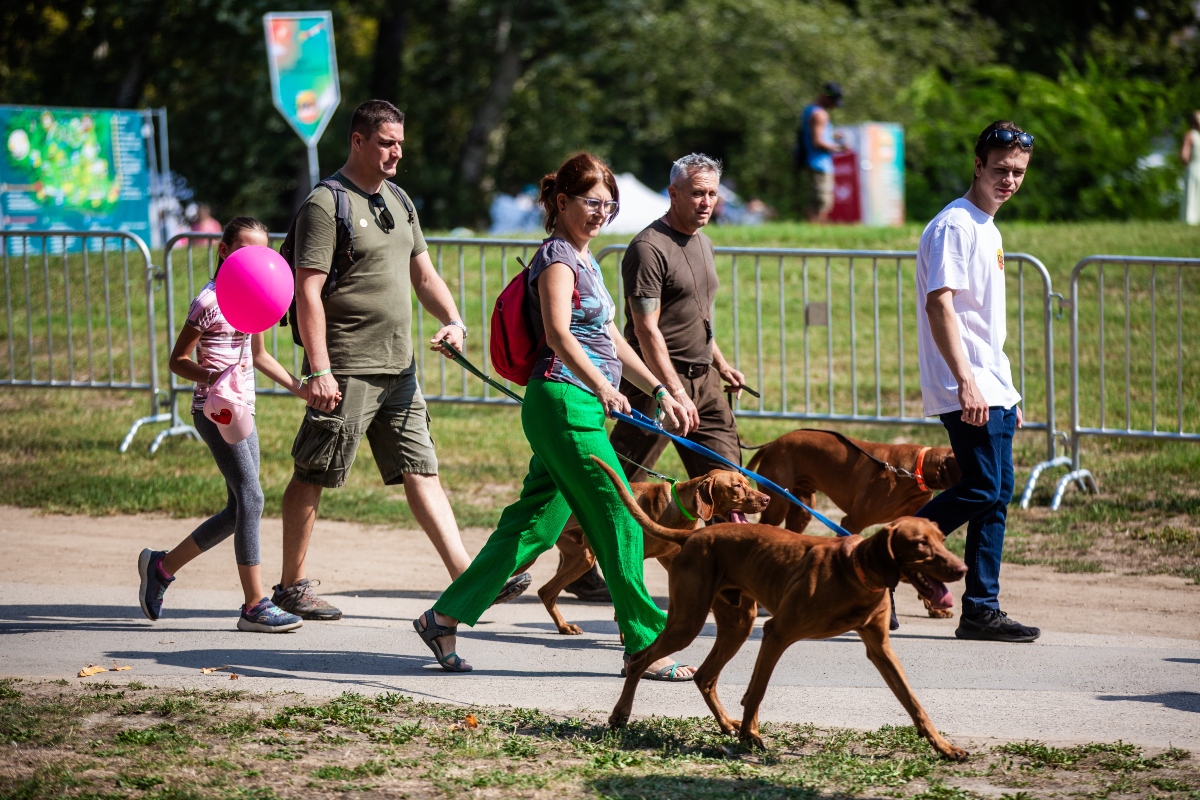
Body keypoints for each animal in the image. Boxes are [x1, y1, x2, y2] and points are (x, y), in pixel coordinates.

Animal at [542, 470, 772, 633]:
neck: (680, 507)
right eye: (737, 486)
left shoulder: (671, 559)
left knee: (546, 591)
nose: (767, 498)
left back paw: (564, 627)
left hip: (582, 557)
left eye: (747, 483)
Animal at [595, 455, 969, 762]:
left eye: (941, 540)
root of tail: (694, 537)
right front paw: (751, 736)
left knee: (705, 676)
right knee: (641, 661)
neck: (853, 570)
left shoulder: (880, 648)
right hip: (689, 621)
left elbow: (913, 701)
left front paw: (944, 747)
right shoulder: (777, 632)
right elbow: (757, 690)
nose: (962, 569)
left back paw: (726, 724)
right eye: (920, 545)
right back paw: (620, 715)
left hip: (738, 623)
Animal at [744, 431, 960, 618]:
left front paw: (936, 608)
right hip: (776, 506)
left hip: (802, 508)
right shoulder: (852, 521)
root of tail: (772, 444)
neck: (914, 471)